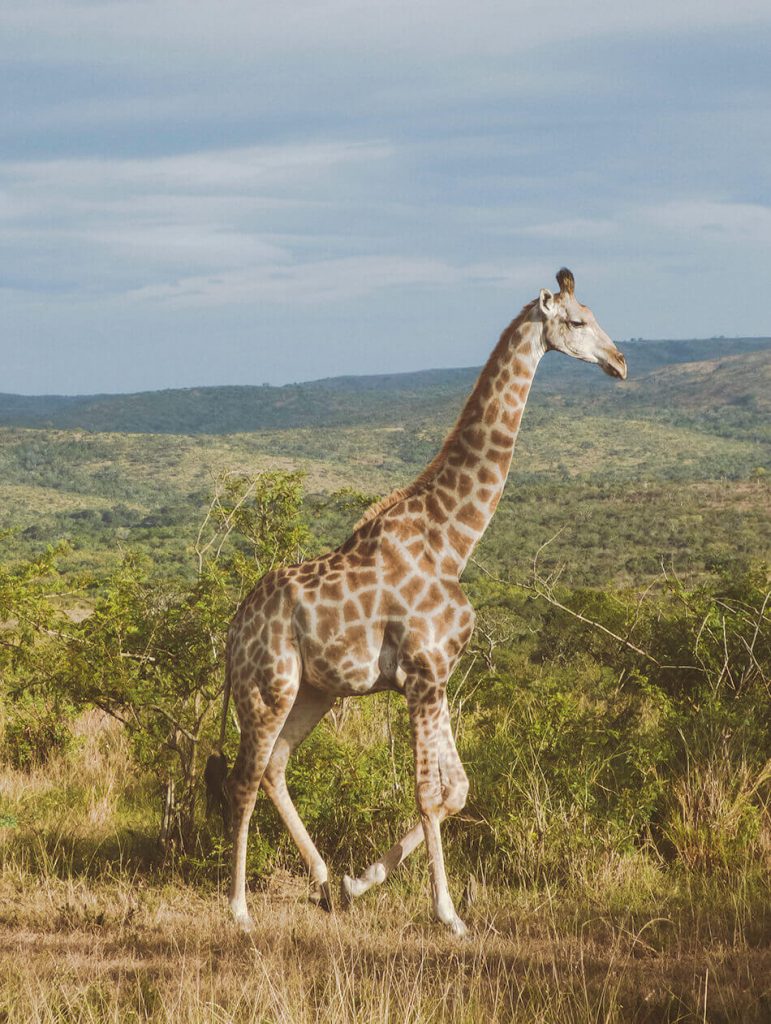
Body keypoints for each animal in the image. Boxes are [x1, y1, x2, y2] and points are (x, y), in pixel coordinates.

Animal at [221, 270, 626, 937]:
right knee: (244, 780)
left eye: (595, 313)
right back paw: (239, 911)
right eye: (575, 322)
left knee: (276, 767)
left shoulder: (439, 674)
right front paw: (448, 914)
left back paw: (324, 880)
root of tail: (232, 630)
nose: (619, 362)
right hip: (267, 687)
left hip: (314, 691)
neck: (452, 540)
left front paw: (360, 882)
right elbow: (430, 794)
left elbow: (457, 789)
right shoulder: (421, 672)